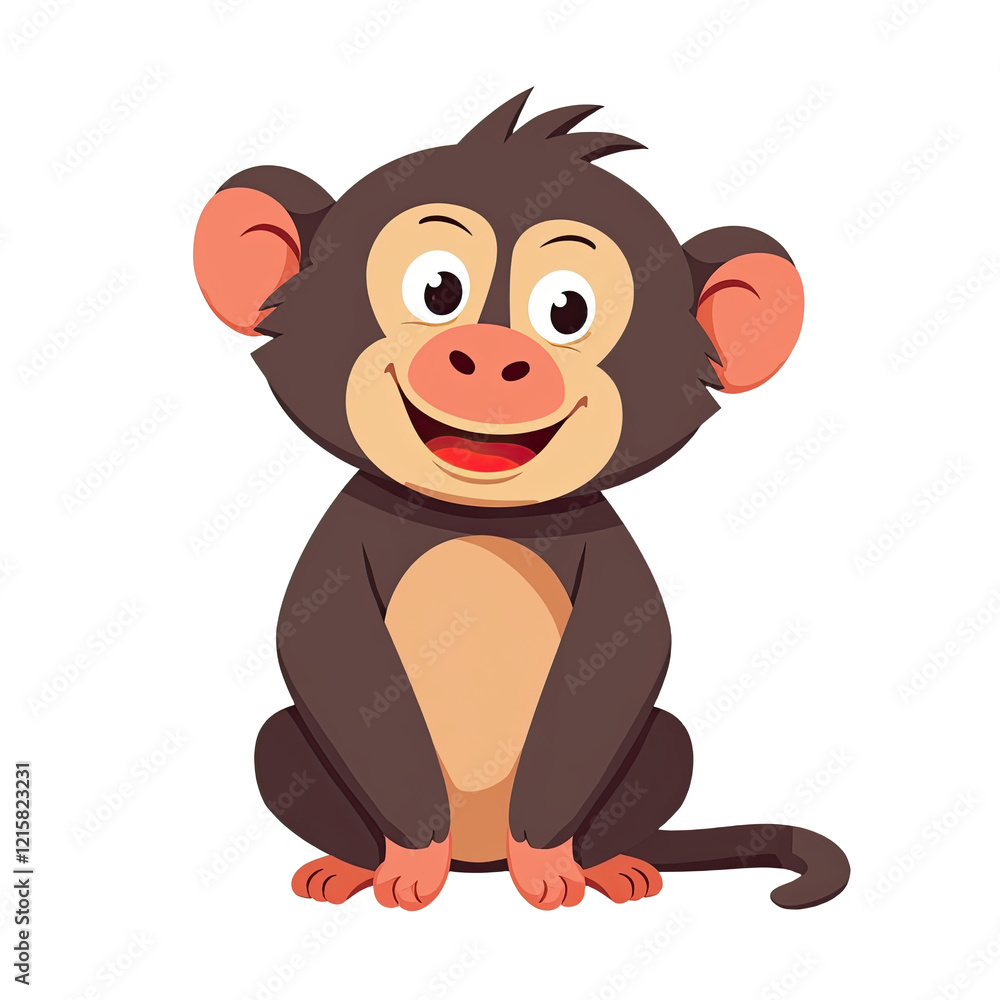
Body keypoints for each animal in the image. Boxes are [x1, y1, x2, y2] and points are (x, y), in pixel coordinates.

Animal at [193, 90, 849, 911]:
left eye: (566, 309)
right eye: (438, 289)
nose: (493, 357)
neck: (477, 519)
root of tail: (481, 866)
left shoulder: (606, 547)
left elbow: (619, 664)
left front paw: (548, 860)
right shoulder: (344, 538)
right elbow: (327, 655)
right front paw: (412, 860)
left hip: (656, 752)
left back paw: (609, 865)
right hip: (288, 750)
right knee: (280, 742)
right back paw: (352, 867)